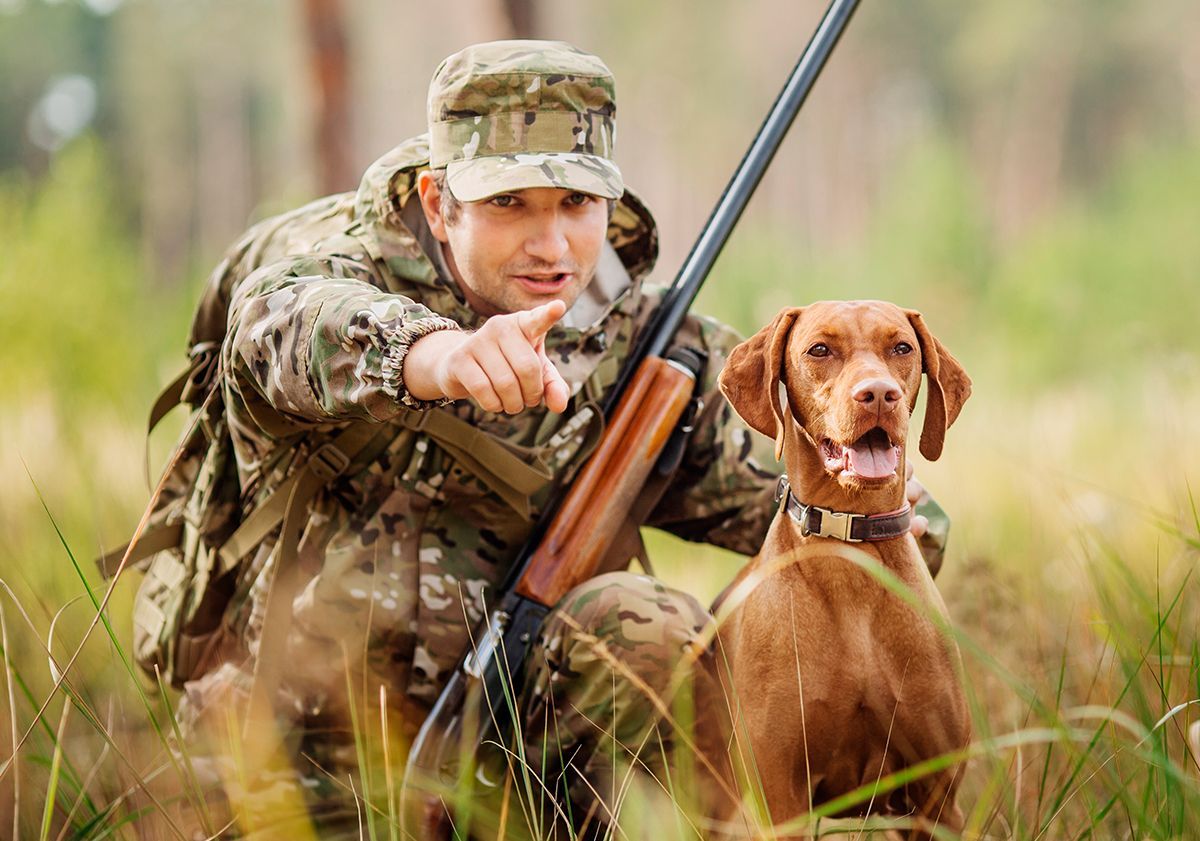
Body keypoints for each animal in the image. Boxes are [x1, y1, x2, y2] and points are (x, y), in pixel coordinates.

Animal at [710, 303, 974, 839]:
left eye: (902, 347)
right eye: (819, 350)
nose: (878, 394)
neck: (849, 545)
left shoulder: (937, 801)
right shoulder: (781, 800)